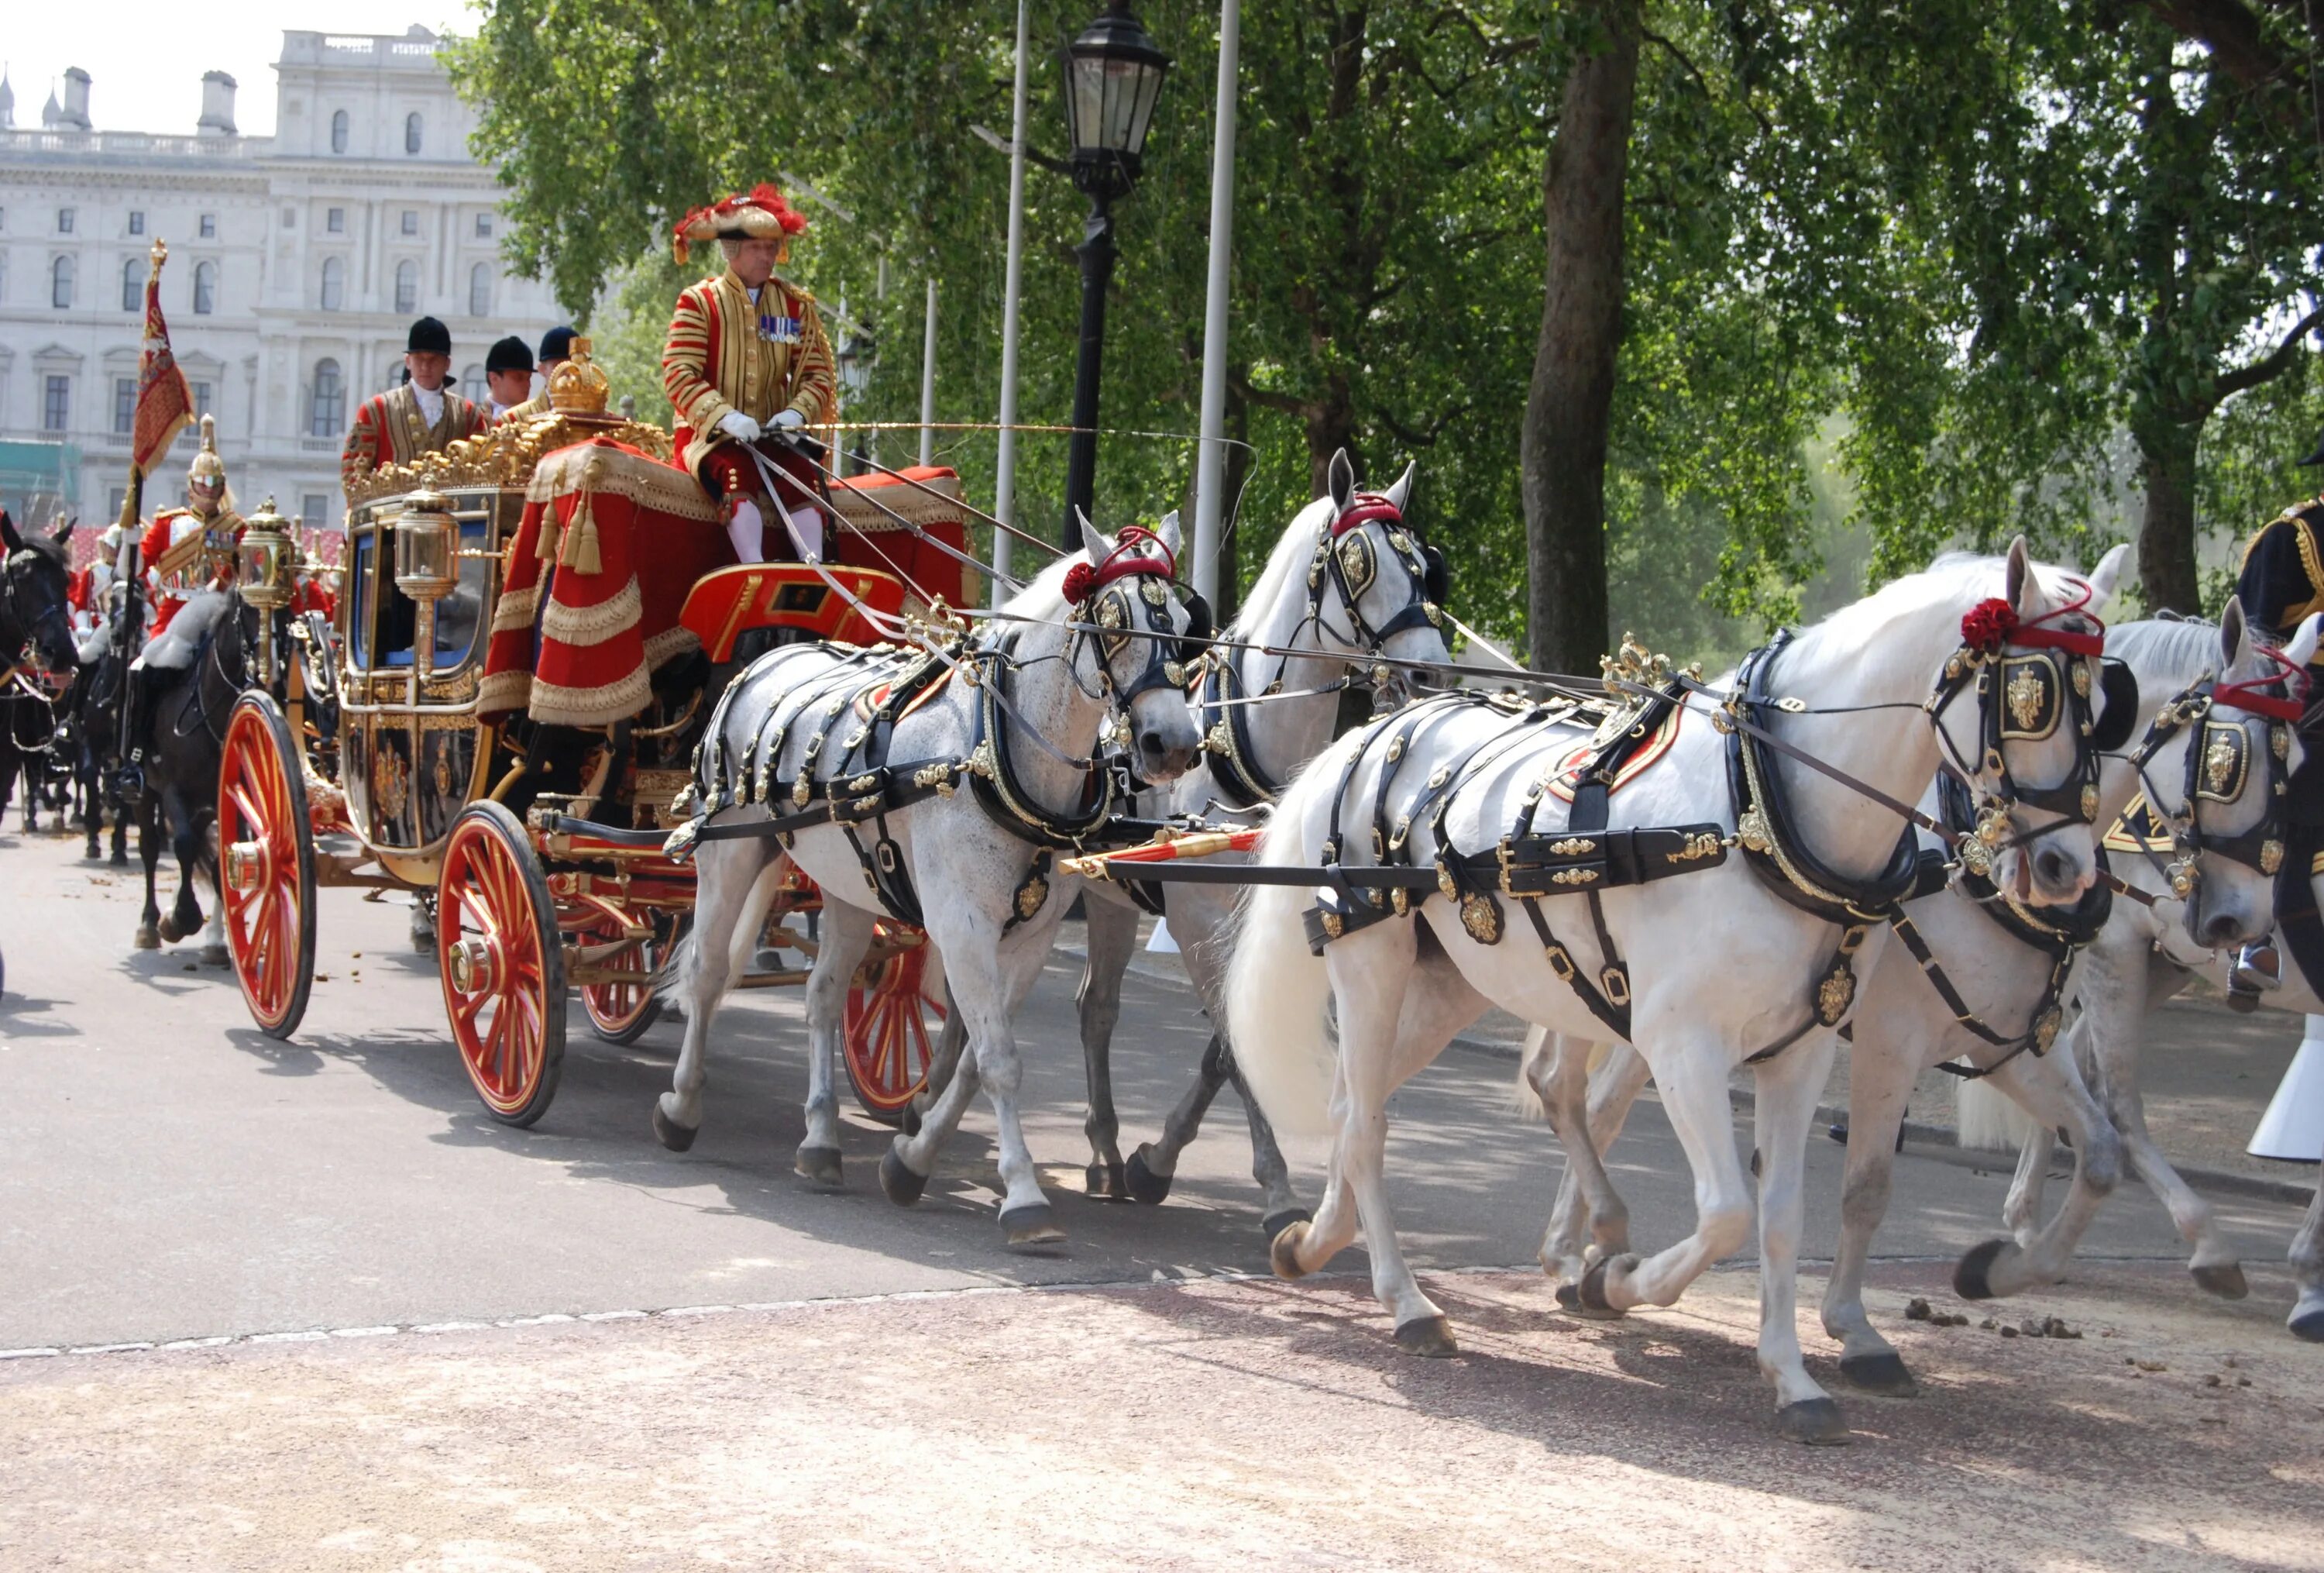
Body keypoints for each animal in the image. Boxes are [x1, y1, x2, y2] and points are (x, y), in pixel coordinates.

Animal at [651, 511, 1199, 1236]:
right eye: (1114, 624)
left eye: (1184, 628)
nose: (1175, 746)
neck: (992, 751)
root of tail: (761, 662)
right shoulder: (963, 926)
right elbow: (997, 1060)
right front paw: (1023, 1196)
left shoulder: (1029, 938)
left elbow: (975, 1060)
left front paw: (911, 1160)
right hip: (730, 853)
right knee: (709, 974)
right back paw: (681, 1107)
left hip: (851, 885)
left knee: (823, 994)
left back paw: (821, 1141)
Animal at [1064, 448, 1450, 1236]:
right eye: (1359, 565)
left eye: (1425, 566)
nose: (1431, 672)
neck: (1238, 747)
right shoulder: (1197, 921)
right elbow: (1238, 1052)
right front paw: (1275, 1190)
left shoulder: (1255, 919)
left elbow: (1226, 1048)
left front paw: (1156, 1160)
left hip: (1110, 900)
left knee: (1096, 1009)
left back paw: (1107, 1152)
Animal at [1227, 539, 2119, 1431]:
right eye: (2035, 695)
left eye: (2107, 700)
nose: (2067, 869)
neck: (1758, 807)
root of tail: (1369, 734)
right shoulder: (1692, 1044)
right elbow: (1728, 1212)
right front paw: (1617, 1279)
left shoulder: (1808, 1052)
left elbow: (1783, 1216)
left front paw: (1793, 1376)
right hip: (1372, 965)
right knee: (1370, 1123)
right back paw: (1409, 1300)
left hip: (1453, 987)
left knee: (1354, 1106)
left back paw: (1315, 1241)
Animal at [1525, 604, 2305, 1403]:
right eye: (2229, 759)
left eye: (2298, 764)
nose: (2245, 922)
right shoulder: (1889, 1039)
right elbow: (1868, 1187)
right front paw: (1854, 1330)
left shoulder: (2006, 1043)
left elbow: (2100, 1154)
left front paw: (1998, 1269)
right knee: (1588, 1101)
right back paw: (1585, 1254)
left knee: (1581, 1097)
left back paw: (1583, 1251)